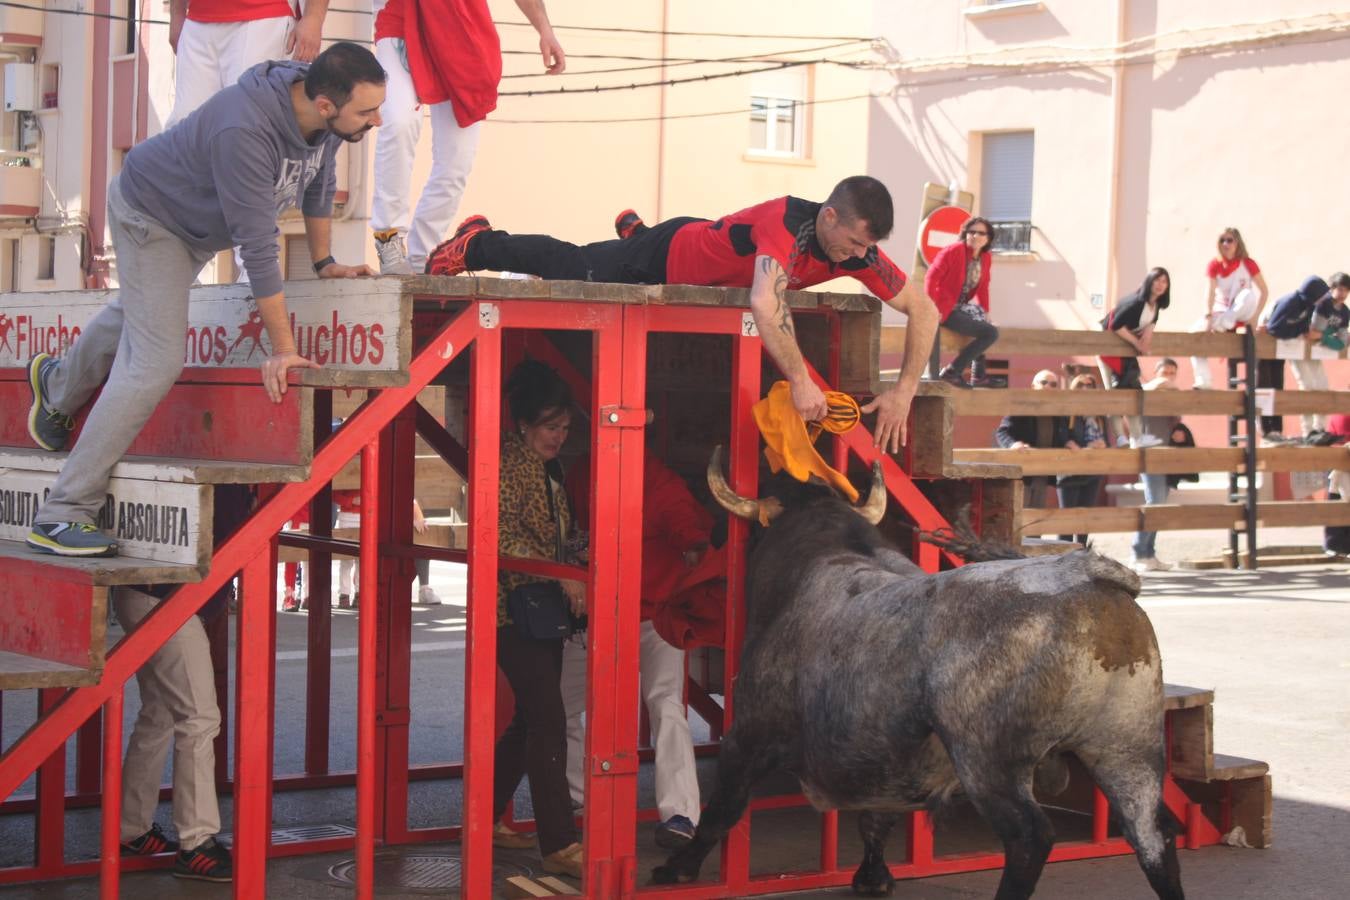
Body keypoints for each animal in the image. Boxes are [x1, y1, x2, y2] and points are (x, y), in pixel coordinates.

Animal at [653, 453, 1182, 900]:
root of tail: (1088, 575)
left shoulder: (749, 732)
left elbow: (723, 807)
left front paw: (678, 869)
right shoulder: (884, 754)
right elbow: (877, 817)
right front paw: (873, 875)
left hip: (988, 760)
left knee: (1030, 838)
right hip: (1128, 746)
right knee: (1152, 834)